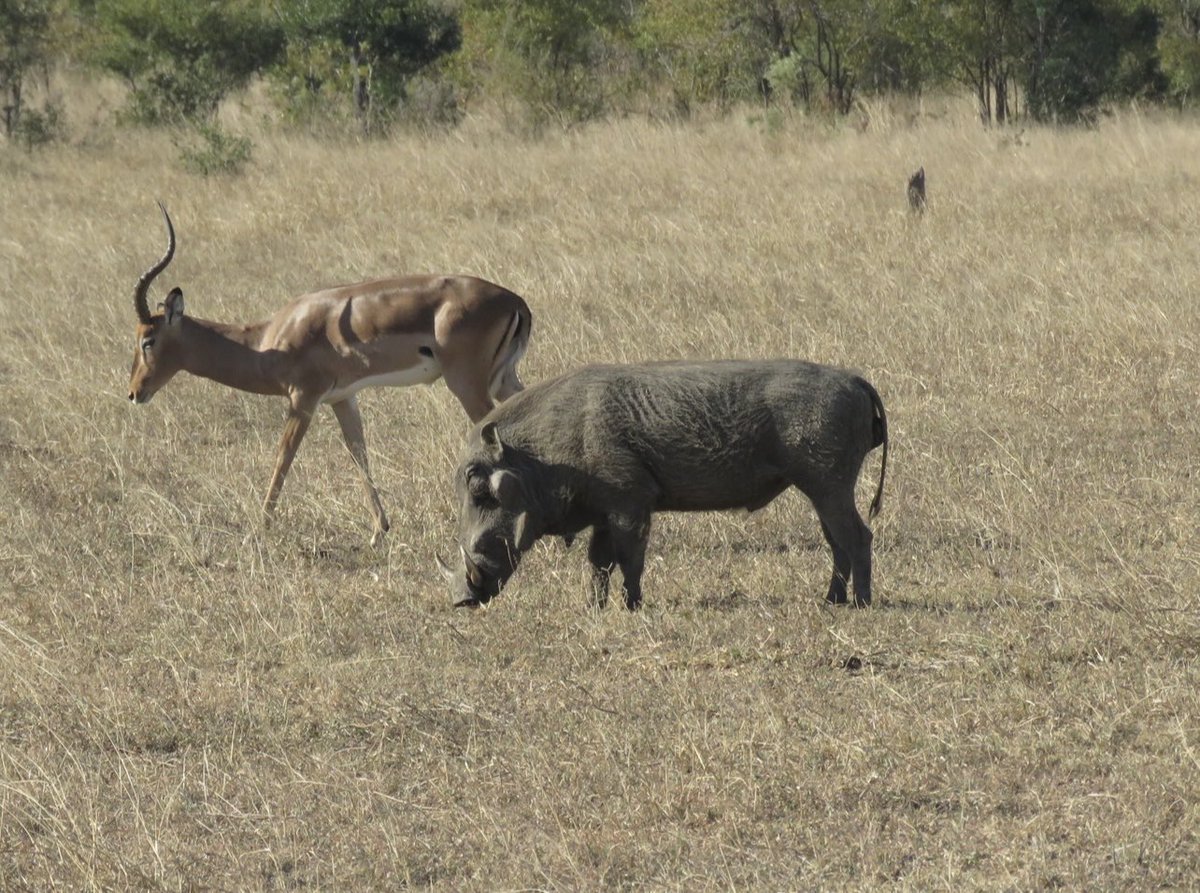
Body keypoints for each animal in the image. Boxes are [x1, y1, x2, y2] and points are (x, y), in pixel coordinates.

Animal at [128, 203, 532, 546]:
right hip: (502, 380)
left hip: (467, 385)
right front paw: (379, 531)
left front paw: (260, 528)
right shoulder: (342, 398)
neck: (268, 340)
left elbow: (283, 455)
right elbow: (358, 452)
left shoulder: (303, 399)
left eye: (148, 339)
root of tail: (516, 302)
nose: (133, 392)